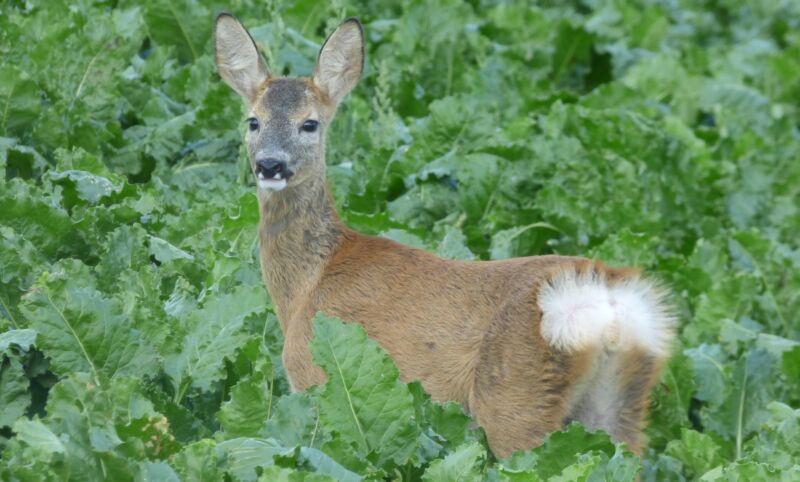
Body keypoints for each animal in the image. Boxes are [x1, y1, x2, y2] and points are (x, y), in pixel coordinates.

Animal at [214, 13, 676, 458]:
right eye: (253, 121)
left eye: (309, 124)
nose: (270, 165)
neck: (306, 286)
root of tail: (607, 302)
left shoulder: (312, 376)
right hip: (618, 403)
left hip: (516, 397)